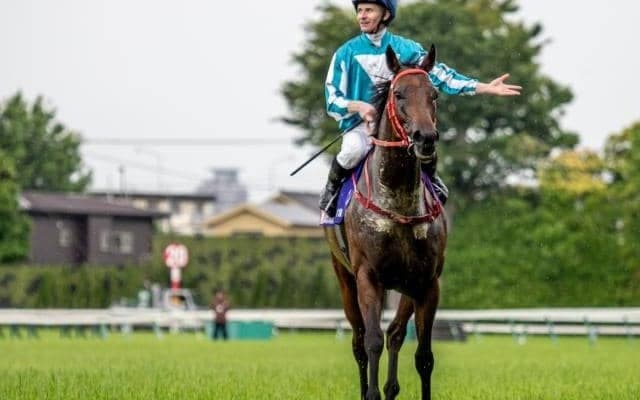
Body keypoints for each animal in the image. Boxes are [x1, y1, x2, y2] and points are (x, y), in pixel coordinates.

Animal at [324, 44, 447, 400]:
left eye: (434, 94)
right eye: (399, 93)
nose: (425, 138)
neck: (400, 204)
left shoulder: (427, 282)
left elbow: (423, 355)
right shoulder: (368, 276)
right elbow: (372, 341)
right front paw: (371, 393)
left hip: (405, 285)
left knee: (394, 334)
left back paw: (391, 388)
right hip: (345, 279)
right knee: (359, 342)